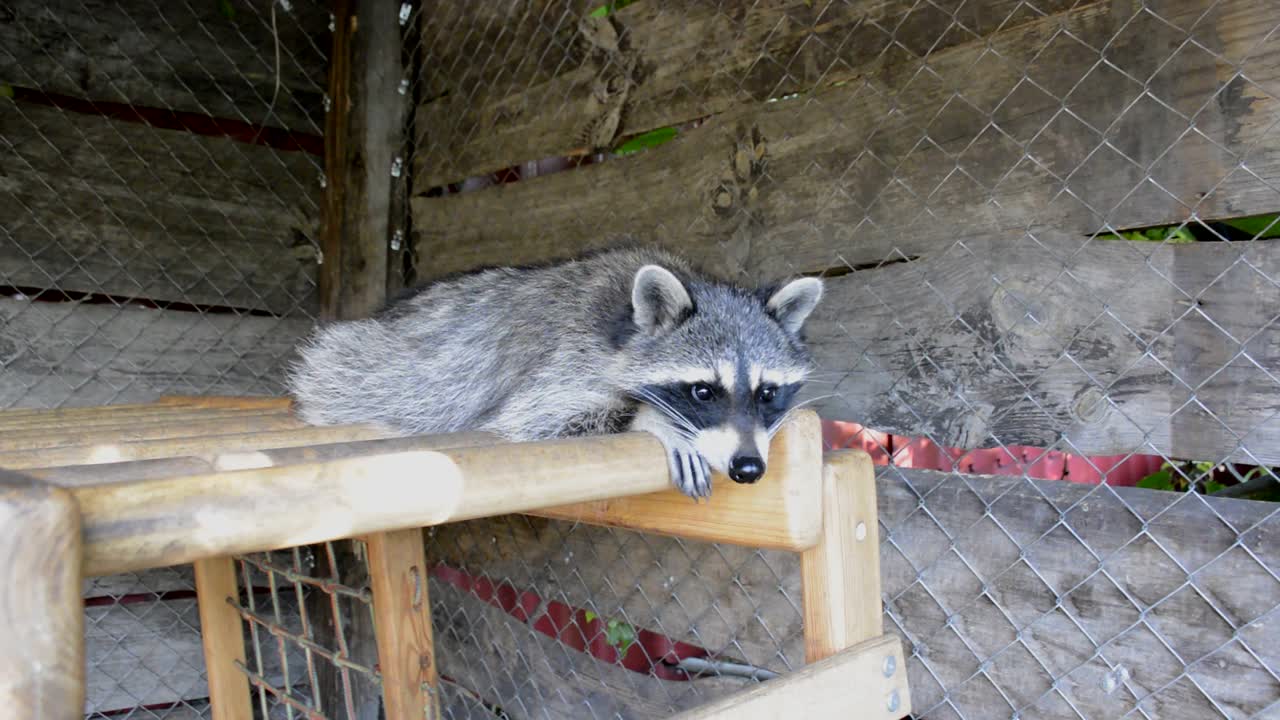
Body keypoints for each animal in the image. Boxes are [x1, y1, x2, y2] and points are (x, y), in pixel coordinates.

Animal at [289, 245, 824, 499]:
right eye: (703, 392)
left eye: (767, 393)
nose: (748, 467)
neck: (627, 325)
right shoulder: (571, 353)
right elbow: (540, 417)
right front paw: (652, 419)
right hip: (374, 367)